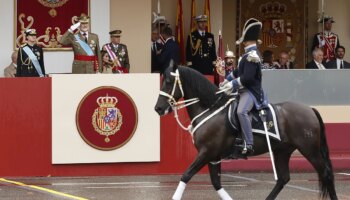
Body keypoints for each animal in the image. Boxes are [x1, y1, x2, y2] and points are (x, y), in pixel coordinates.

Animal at [154, 65, 338, 199]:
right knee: (283, 178)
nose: (158, 108)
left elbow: (186, 176)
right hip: (282, 151)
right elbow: (216, 183)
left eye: (169, 81)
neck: (210, 109)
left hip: (309, 150)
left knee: (326, 174)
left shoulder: (206, 153)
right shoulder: (213, 156)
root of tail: (310, 109)